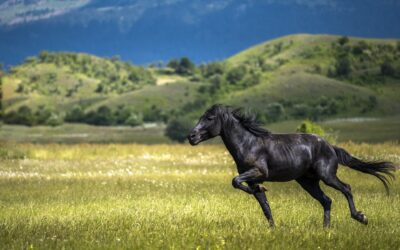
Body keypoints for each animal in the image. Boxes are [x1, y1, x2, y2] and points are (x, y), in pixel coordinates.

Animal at [188, 104, 396, 228]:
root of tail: (330, 146)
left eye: (209, 118)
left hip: (327, 176)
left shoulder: (258, 172)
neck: (248, 143)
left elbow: (235, 181)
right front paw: (272, 228)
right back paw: (325, 229)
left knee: (346, 188)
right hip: (308, 182)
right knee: (327, 200)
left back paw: (361, 217)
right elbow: (263, 204)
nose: (191, 137)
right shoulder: (253, 179)